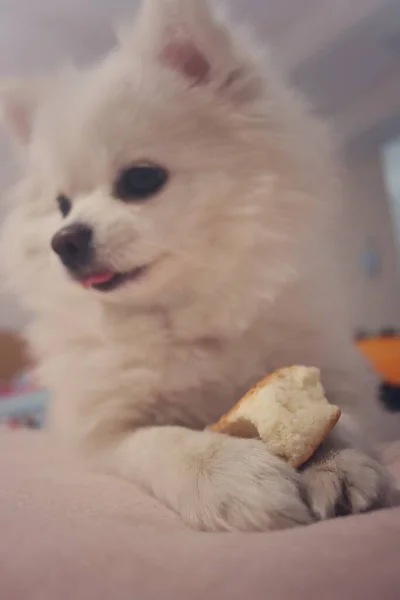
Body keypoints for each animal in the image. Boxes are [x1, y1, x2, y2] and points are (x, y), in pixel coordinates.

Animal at [0, 0, 396, 532]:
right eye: (62, 205)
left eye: (141, 179)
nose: (64, 240)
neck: (183, 321)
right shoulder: (104, 432)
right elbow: (165, 440)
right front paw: (229, 474)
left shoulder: (336, 378)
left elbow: (343, 418)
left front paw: (337, 462)